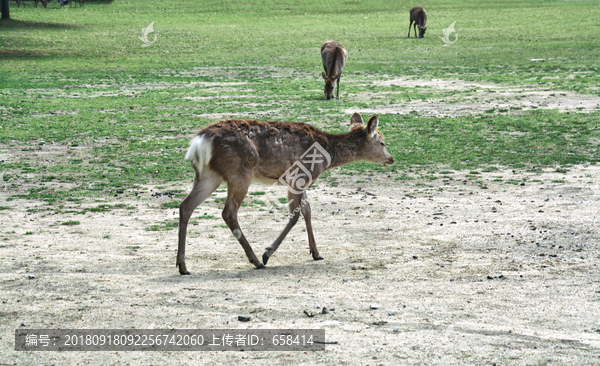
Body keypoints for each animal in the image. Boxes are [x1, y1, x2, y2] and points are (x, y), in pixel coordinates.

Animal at [176, 113, 396, 274]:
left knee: (185, 206)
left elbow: (307, 211)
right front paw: (268, 253)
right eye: (382, 142)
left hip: (208, 174)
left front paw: (316, 252)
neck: (326, 154)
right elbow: (296, 215)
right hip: (239, 172)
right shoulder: (299, 176)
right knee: (228, 212)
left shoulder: (300, 181)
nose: (391, 159)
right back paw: (256, 260)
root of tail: (200, 142)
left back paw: (182, 265)